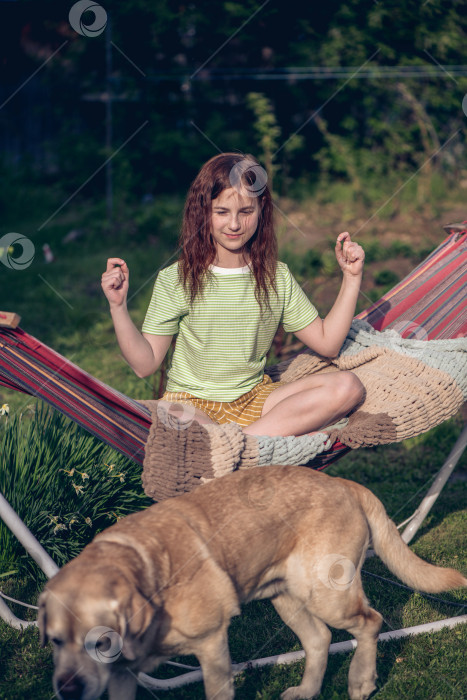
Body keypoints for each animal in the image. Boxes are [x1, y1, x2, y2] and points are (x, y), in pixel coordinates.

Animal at [38, 464, 466, 700]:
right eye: (55, 641)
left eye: (101, 642)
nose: (67, 690)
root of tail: (342, 482)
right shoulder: (123, 676)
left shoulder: (212, 646)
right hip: (287, 598)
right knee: (320, 640)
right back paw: (307, 692)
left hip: (328, 595)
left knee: (370, 623)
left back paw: (361, 682)